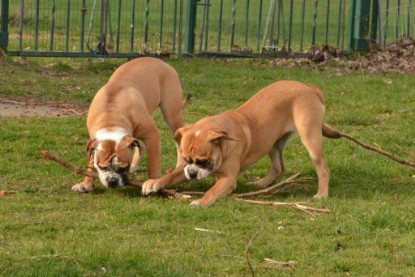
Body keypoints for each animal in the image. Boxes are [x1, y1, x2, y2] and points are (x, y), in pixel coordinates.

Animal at [72, 57, 184, 192]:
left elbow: (153, 163)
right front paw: (86, 183)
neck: (111, 119)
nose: (112, 181)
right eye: (102, 167)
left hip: (171, 114)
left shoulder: (153, 135)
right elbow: (91, 163)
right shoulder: (94, 142)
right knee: (140, 144)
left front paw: (153, 182)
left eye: (122, 168)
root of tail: (158, 60)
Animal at [143, 80, 342, 205]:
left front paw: (200, 201)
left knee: (323, 169)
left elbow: (212, 191)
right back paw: (260, 184)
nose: (191, 173)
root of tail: (308, 87)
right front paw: (154, 182)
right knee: (279, 167)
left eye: (203, 161)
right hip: (272, 143)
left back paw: (321, 194)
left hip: (310, 138)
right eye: (185, 160)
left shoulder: (228, 180)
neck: (223, 143)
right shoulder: (183, 170)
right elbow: (171, 175)